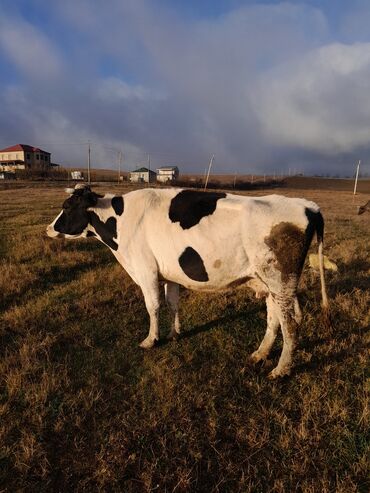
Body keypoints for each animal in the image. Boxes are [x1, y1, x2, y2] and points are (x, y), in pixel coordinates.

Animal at [47, 184, 328, 376]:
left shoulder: (146, 270)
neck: (121, 223)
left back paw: (280, 370)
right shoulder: (170, 273)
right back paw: (260, 354)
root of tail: (308, 206)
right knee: (274, 319)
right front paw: (175, 333)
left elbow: (153, 306)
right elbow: (172, 303)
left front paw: (151, 339)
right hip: (268, 283)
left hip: (280, 281)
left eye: (68, 207)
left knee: (290, 325)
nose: (48, 229)